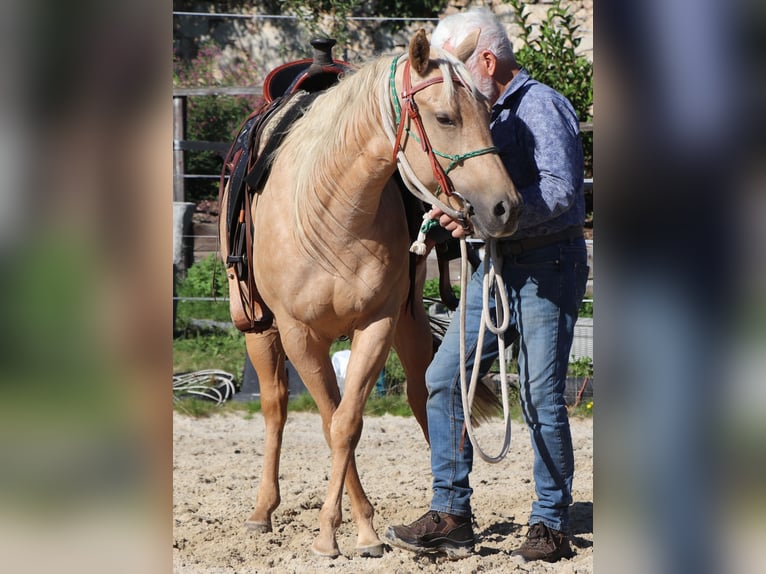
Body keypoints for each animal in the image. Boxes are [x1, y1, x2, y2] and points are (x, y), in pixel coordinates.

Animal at [219, 30, 524, 560]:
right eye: (445, 118)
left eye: (488, 114)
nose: (505, 207)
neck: (333, 209)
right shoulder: (300, 335)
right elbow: (328, 421)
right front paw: (336, 532)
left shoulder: (377, 325)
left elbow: (347, 423)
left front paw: (359, 530)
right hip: (255, 326)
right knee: (275, 406)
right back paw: (262, 511)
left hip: (410, 321)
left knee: (423, 395)